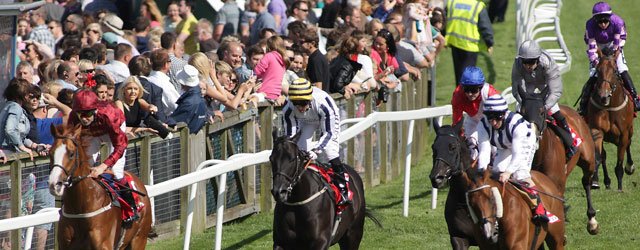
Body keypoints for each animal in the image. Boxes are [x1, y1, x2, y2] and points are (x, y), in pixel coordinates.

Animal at [520, 94, 600, 235]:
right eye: (522, 112)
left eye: (541, 112)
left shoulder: (556, 183)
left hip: (588, 161)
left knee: (586, 182)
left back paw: (592, 221)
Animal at [584, 50, 636, 191]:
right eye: (598, 69)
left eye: (614, 70)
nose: (604, 95)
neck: (610, 106)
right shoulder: (597, 130)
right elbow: (598, 156)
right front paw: (595, 181)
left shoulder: (624, 133)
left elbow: (620, 160)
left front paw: (620, 187)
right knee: (604, 155)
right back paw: (606, 181)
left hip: (630, 130)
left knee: (628, 144)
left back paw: (630, 167)